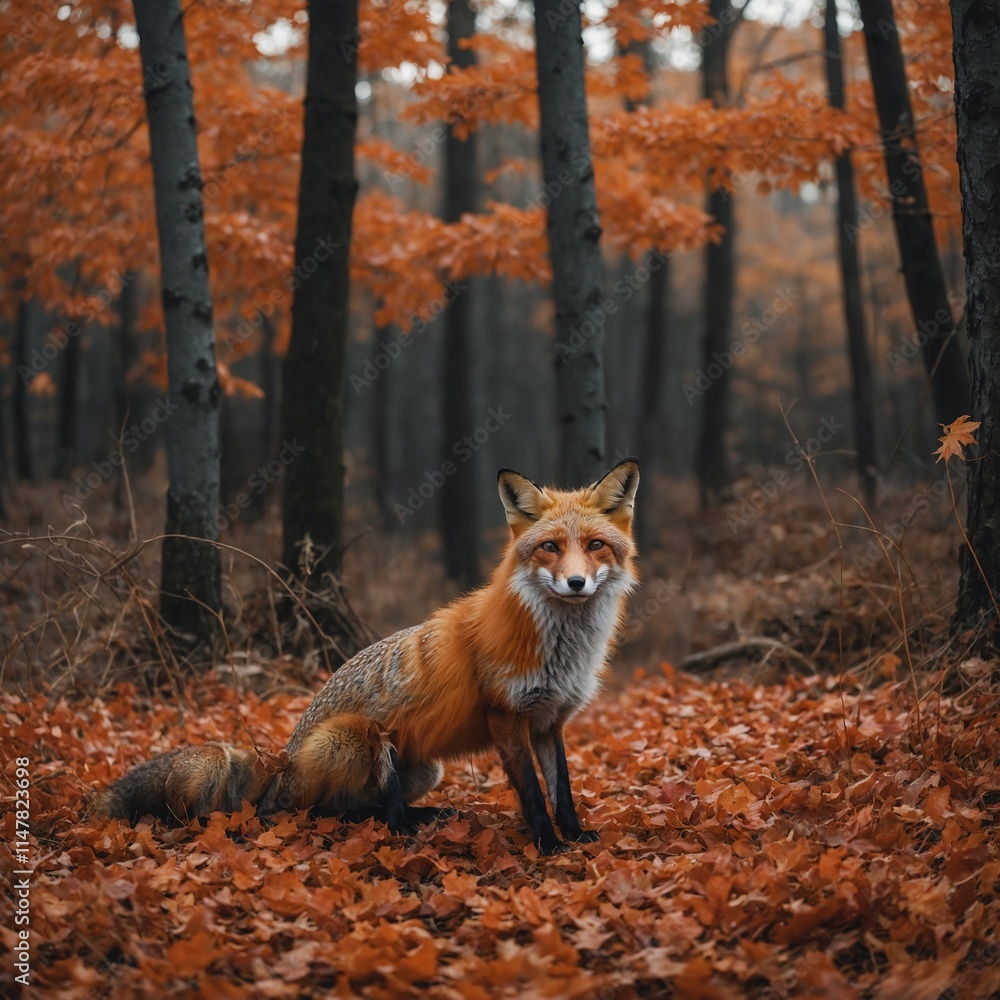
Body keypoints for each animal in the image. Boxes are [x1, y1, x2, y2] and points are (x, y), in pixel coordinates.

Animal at [97, 458, 639, 854]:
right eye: (550, 547)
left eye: (595, 545)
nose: (576, 583)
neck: (561, 648)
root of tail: (281, 761)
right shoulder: (506, 716)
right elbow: (531, 792)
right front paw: (547, 844)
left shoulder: (549, 720)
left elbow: (562, 788)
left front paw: (575, 834)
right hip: (358, 739)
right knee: (318, 811)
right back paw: (394, 826)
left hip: (424, 768)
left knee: (376, 805)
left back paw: (419, 817)